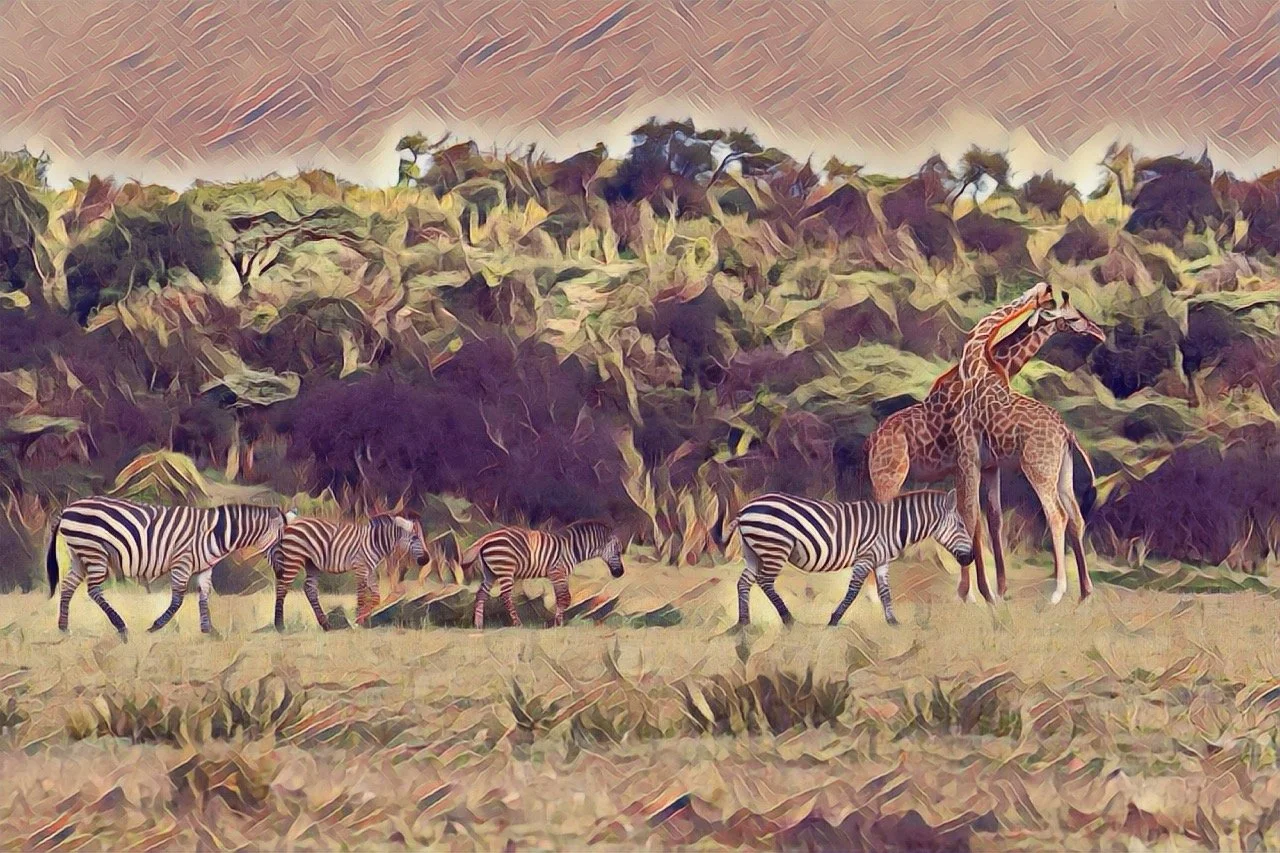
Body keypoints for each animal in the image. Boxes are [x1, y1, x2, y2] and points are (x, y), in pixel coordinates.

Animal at [46, 497, 291, 636]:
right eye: (281, 542)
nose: (283, 571)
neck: (216, 533)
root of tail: (67, 508)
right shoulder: (182, 560)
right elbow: (178, 599)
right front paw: (156, 626)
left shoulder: (204, 567)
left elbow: (204, 596)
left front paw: (209, 630)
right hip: (93, 551)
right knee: (93, 590)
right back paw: (120, 626)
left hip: (79, 555)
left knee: (68, 586)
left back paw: (63, 627)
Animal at [270, 513, 428, 630]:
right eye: (415, 538)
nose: (426, 560)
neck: (375, 542)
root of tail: (291, 523)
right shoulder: (361, 567)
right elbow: (362, 595)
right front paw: (357, 621)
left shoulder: (369, 569)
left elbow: (376, 597)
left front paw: (363, 619)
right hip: (293, 557)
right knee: (282, 587)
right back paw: (279, 625)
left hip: (312, 563)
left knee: (309, 588)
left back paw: (326, 625)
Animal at [462, 521, 625, 629]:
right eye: (618, 552)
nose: (621, 573)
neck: (572, 548)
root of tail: (487, 537)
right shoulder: (557, 572)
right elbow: (564, 598)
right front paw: (558, 624)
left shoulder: (559, 575)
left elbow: (563, 598)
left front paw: (558, 623)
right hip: (505, 569)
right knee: (506, 597)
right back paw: (518, 624)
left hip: (490, 572)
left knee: (481, 594)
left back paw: (478, 624)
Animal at [713, 490, 974, 626]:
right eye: (961, 525)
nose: (971, 558)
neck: (892, 527)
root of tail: (744, 509)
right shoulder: (866, 557)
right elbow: (853, 591)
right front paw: (834, 620)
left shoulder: (881, 561)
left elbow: (885, 592)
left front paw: (893, 622)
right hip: (774, 548)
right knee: (765, 582)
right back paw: (788, 619)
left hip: (754, 552)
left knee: (744, 583)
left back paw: (744, 623)